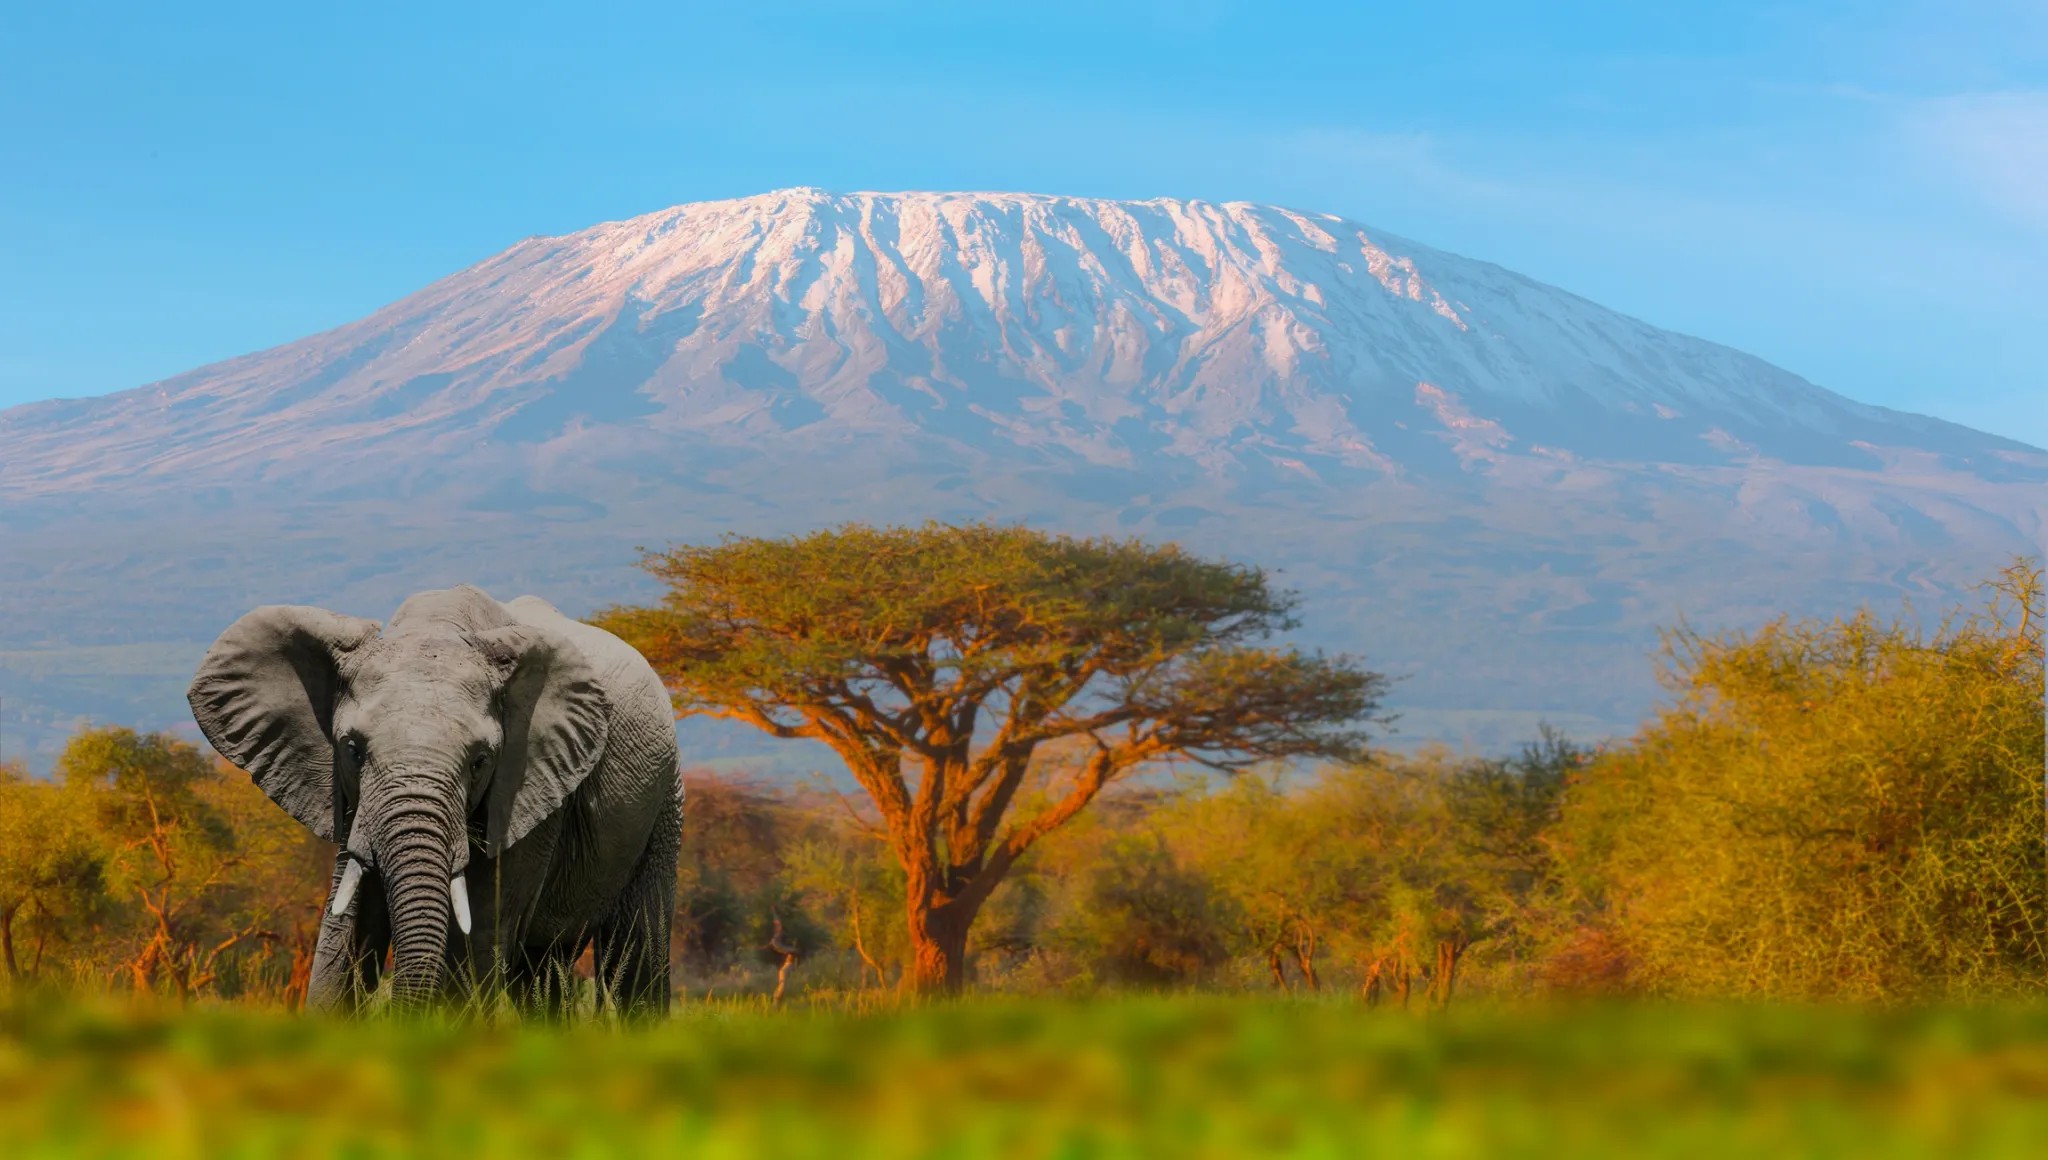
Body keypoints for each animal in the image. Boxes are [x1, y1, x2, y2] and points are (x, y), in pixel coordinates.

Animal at [186, 583, 681, 1014]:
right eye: (352, 749)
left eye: (481, 761)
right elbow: (345, 930)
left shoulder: (529, 792)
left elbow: (477, 935)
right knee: (542, 971)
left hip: (664, 796)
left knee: (635, 954)